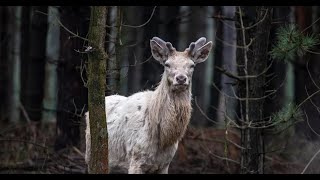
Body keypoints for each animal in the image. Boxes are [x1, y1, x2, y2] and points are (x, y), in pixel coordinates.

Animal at [85, 36, 212, 173]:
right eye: (167, 64)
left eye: (192, 65)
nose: (181, 78)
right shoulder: (135, 158)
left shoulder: (165, 164)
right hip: (90, 156)